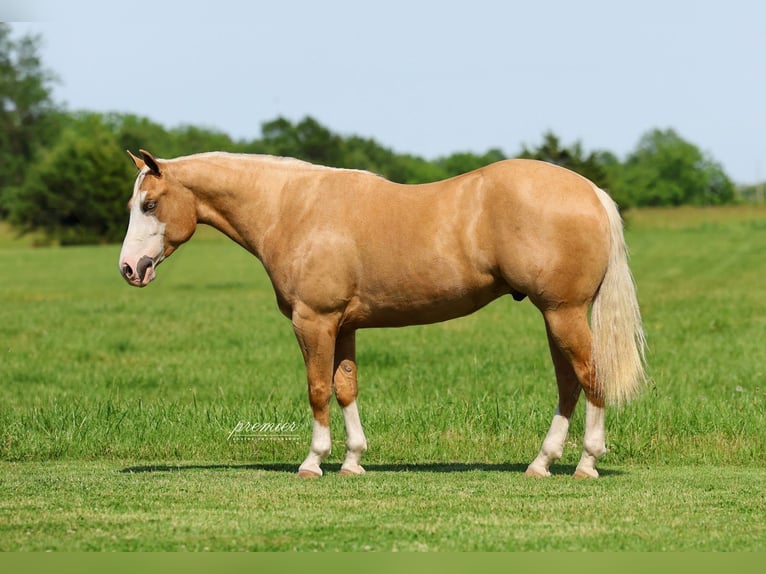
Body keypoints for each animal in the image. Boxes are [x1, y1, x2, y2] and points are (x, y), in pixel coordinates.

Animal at [118, 149, 646, 479]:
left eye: (150, 203)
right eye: (133, 204)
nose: (130, 268)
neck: (293, 208)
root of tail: (590, 192)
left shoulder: (314, 321)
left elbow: (317, 388)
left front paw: (313, 461)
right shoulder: (344, 325)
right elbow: (346, 387)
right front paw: (353, 460)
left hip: (563, 313)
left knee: (589, 378)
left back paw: (585, 465)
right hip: (556, 316)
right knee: (569, 384)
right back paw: (541, 464)